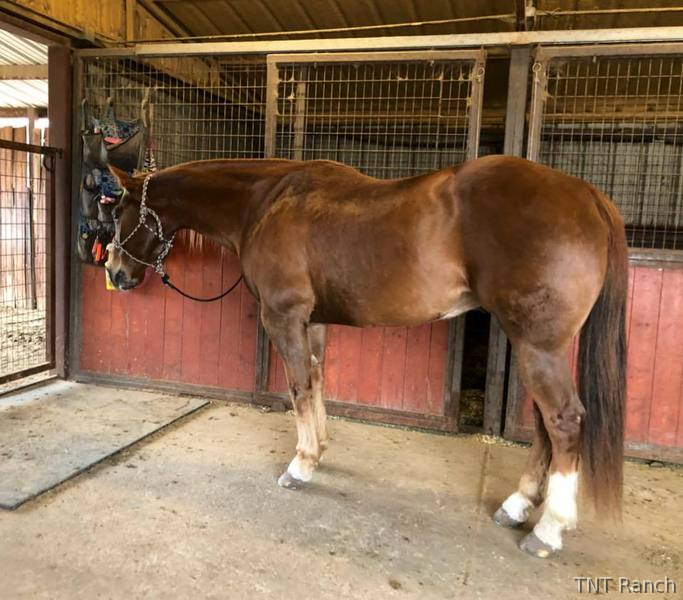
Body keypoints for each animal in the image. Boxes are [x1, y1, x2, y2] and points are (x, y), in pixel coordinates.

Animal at [105, 155, 627, 558]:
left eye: (120, 213)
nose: (114, 272)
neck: (264, 203)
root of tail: (587, 195)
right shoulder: (313, 321)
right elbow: (316, 383)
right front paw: (319, 450)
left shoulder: (283, 317)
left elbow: (298, 387)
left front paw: (300, 465)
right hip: (533, 345)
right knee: (542, 422)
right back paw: (518, 506)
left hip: (538, 346)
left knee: (563, 421)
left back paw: (548, 529)